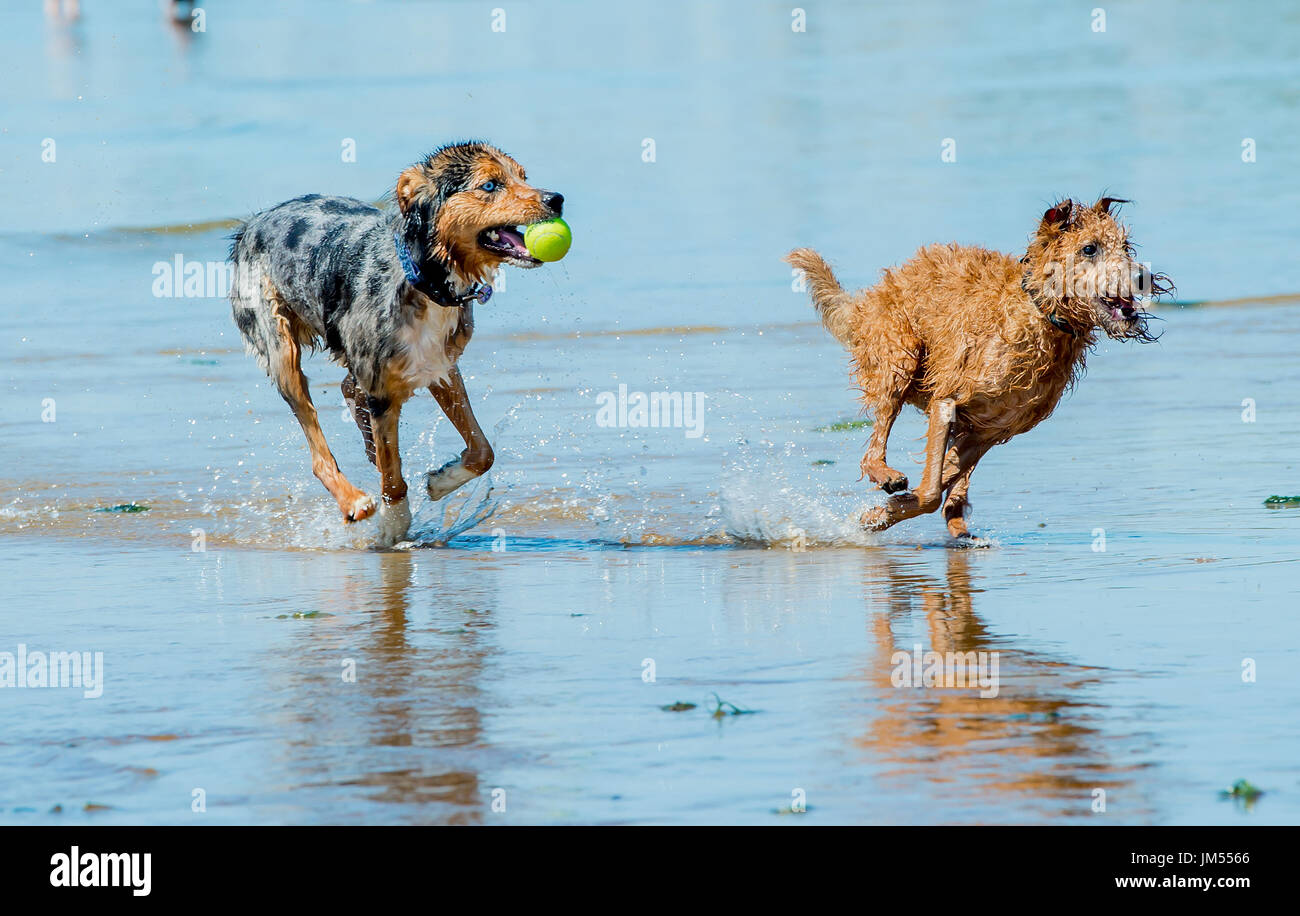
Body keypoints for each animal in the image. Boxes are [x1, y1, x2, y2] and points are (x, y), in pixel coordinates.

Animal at [232, 139, 564, 545]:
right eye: (490, 185)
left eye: (523, 176)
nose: (556, 199)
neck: (426, 279)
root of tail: (253, 223)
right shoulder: (381, 390)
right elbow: (392, 479)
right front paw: (394, 526)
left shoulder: (440, 366)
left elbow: (483, 451)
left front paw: (441, 481)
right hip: (280, 348)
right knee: (317, 446)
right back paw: (353, 501)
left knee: (348, 388)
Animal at [785, 196, 1175, 540]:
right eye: (1089, 249)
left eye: (1126, 246)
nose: (1143, 277)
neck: (1039, 315)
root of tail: (870, 298)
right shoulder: (947, 402)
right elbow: (930, 490)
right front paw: (880, 512)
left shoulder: (988, 431)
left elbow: (942, 478)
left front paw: (884, 512)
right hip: (899, 355)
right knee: (874, 446)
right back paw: (886, 475)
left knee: (951, 487)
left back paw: (957, 526)